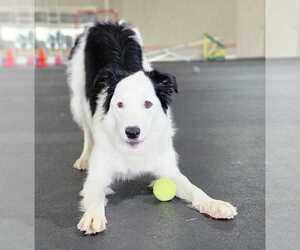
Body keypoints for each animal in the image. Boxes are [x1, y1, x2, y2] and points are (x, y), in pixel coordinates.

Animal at [67, 21, 237, 234]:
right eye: (119, 104)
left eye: (148, 104)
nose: (132, 132)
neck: (134, 150)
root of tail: (106, 23)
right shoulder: (98, 175)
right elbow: (95, 195)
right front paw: (92, 215)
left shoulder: (169, 170)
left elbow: (195, 189)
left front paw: (214, 204)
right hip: (78, 101)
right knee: (87, 132)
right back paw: (84, 158)